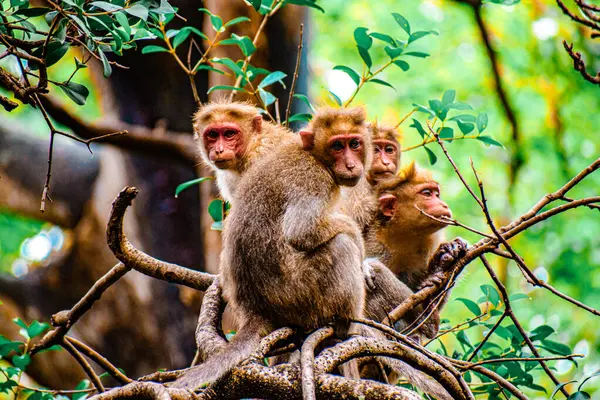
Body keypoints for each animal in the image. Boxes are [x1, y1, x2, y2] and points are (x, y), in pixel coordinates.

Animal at [171, 107, 372, 390]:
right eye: (337, 146)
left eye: (354, 144)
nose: (352, 165)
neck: (315, 157)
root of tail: (257, 310)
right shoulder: (314, 180)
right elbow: (302, 231)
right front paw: (355, 237)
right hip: (298, 296)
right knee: (340, 245)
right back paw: (346, 326)